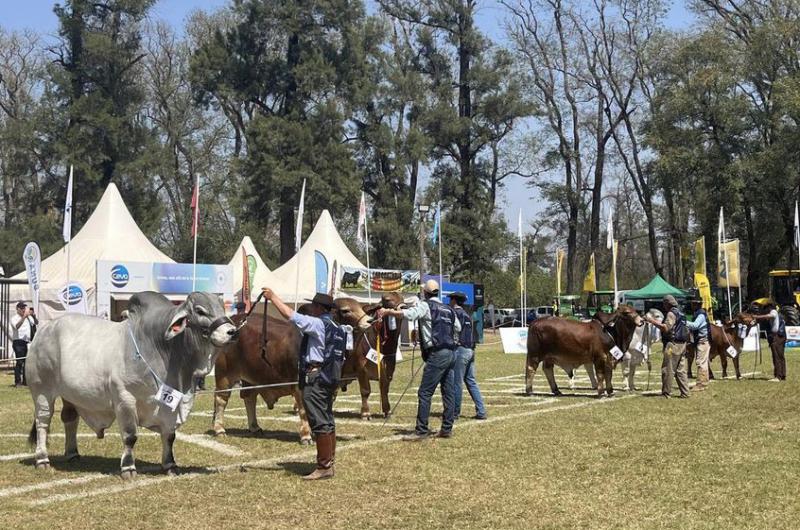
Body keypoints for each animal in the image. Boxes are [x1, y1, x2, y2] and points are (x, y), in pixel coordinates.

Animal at [25, 290, 238, 476]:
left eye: (222, 308)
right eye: (200, 311)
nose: (232, 331)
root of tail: (43, 330)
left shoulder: (170, 407)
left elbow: (169, 436)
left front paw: (170, 465)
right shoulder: (124, 399)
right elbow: (130, 436)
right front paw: (128, 468)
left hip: (70, 394)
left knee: (69, 419)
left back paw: (73, 454)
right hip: (42, 390)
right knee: (43, 422)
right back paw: (42, 460)